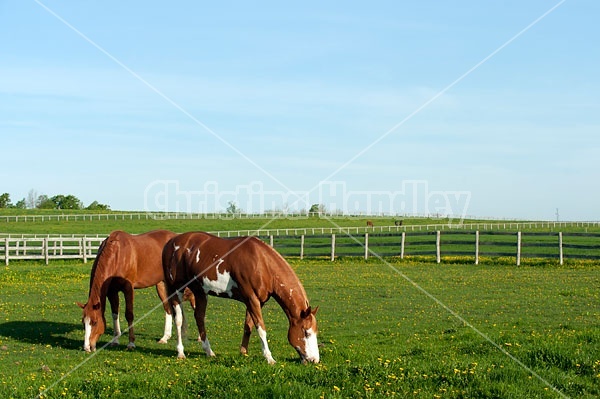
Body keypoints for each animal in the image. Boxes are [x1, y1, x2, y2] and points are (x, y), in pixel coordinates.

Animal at [162, 231, 322, 366]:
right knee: (178, 319)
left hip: (200, 292)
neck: (262, 263)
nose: (314, 360)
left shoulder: (257, 302)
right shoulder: (252, 299)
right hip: (177, 289)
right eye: (306, 332)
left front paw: (243, 352)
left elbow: (248, 326)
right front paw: (269, 357)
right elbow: (261, 328)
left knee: (199, 318)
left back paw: (209, 351)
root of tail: (171, 243)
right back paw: (180, 352)